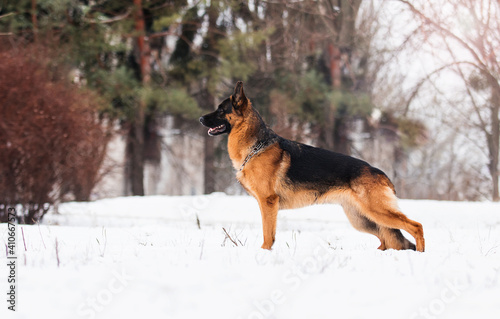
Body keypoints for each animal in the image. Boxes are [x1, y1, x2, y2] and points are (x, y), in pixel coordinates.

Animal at [200, 82, 426, 252]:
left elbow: (267, 234)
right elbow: (269, 233)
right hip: (363, 218)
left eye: (221, 110)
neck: (256, 146)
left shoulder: (268, 203)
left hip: (377, 212)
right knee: (387, 239)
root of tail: (380, 173)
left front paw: (264, 252)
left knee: (416, 227)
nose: (200, 118)